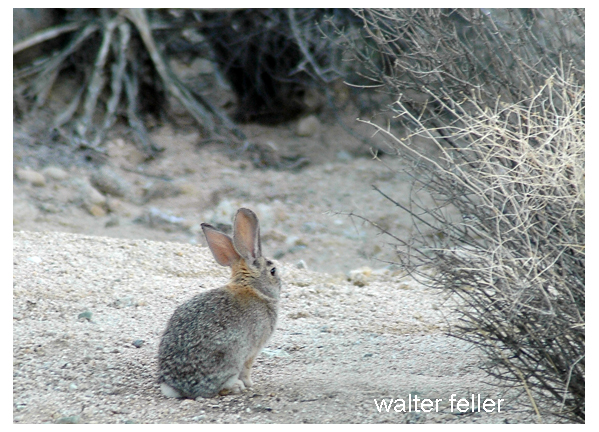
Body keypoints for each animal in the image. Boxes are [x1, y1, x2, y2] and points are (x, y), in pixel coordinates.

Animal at [158, 208, 282, 400]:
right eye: (273, 271)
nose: (281, 285)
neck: (252, 288)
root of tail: (178, 387)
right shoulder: (252, 350)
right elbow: (247, 369)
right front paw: (249, 383)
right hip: (231, 357)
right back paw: (236, 386)